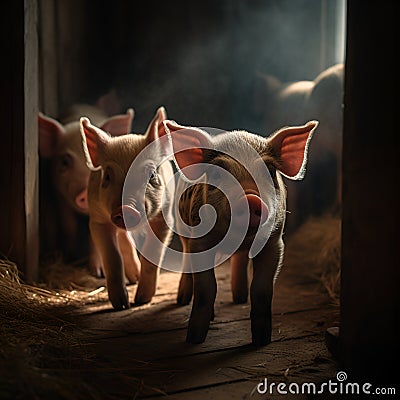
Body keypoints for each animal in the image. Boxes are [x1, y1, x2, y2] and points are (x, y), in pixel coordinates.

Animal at [38, 101, 134, 276]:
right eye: (64, 162)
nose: (84, 191)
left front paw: (98, 273)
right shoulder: (59, 195)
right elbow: (68, 225)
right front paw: (70, 258)